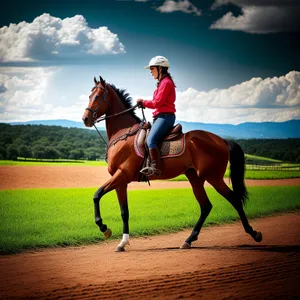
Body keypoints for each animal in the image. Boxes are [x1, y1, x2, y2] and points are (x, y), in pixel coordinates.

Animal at [82, 76, 262, 252]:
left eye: (97, 97)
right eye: (89, 96)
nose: (85, 119)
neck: (123, 133)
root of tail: (222, 140)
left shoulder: (122, 175)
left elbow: (97, 195)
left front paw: (104, 228)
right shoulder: (121, 181)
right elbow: (124, 211)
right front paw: (122, 243)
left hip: (214, 178)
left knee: (234, 200)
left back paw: (253, 233)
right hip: (194, 177)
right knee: (206, 206)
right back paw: (189, 240)